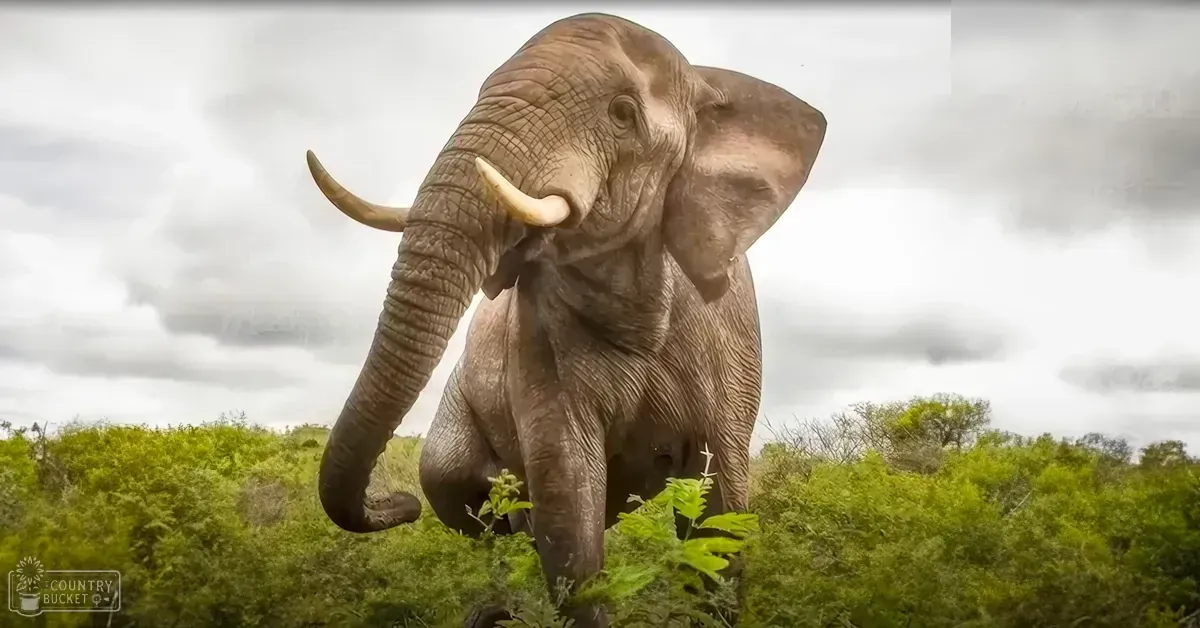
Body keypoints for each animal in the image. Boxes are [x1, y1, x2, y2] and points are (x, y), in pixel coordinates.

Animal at [306, 12, 826, 627]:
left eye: (622, 114)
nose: (396, 504)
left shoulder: (731, 337)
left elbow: (719, 516)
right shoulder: (536, 336)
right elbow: (569, 512)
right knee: (460, 492)